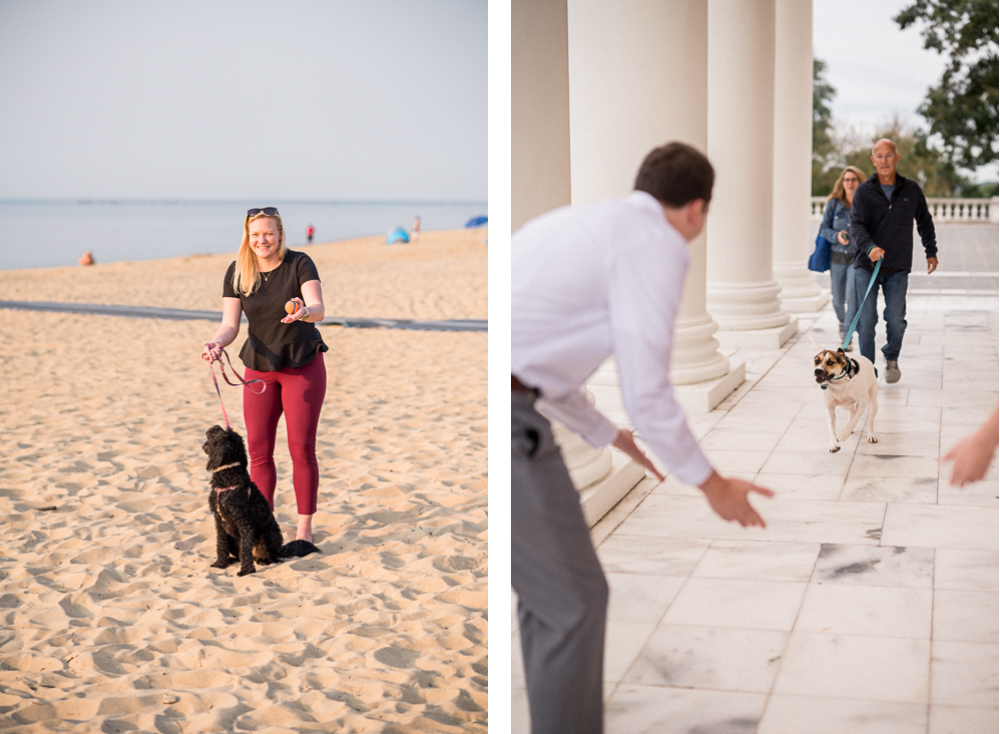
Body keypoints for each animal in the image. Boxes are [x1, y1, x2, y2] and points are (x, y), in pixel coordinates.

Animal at [205, 426, 322, 576]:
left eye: (220, 434)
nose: (214, 427)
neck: (228, 476)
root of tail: (280, 549)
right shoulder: (219, 522)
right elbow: (221, 545)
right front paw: (220, 564)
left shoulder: (244, 521)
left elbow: (245, 549)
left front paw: (246, 571)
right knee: (240, 554)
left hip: (269, 535)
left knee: (272, 557)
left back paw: (263, 559)